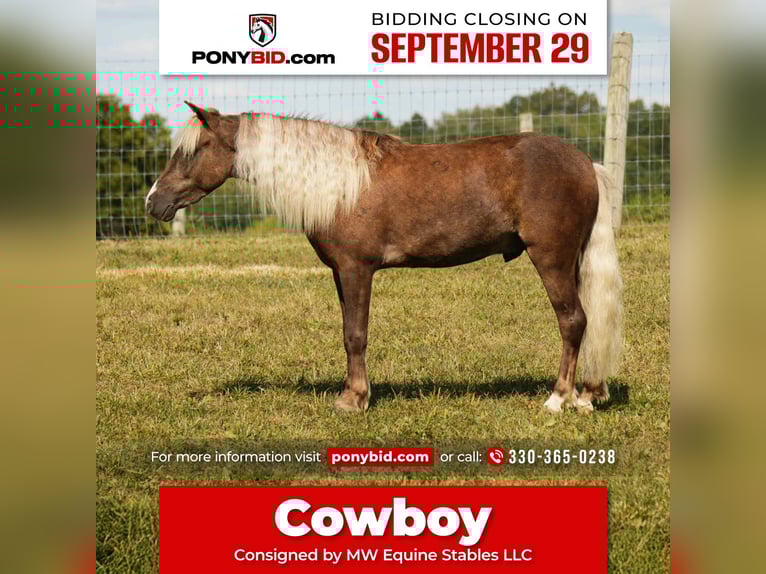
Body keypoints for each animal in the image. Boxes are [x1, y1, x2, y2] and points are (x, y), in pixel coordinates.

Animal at [146, 101, 623, 413]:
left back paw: (559, 399)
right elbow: (348, 333)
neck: (341, 184)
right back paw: (587, 394)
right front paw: (353, 392)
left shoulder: (357, 269)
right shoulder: (341, 274)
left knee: (572, 320)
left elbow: (355, 334)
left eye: (194, 149)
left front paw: (353, 401)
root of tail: (585, 163)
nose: (154, 202)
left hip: (552, 258)